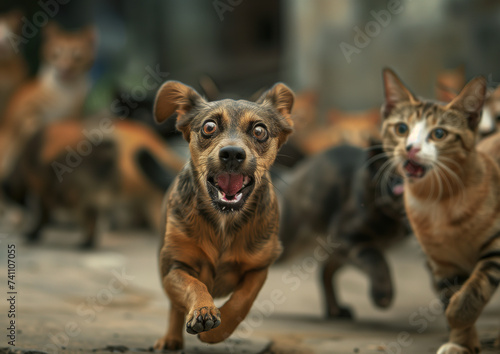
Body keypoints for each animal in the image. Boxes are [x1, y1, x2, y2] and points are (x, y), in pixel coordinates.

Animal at [0, 21, 95, 176]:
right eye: (55, 54)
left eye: (77, 58)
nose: (65, 69)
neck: (65, 91)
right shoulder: (27, 109)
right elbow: (32, 126)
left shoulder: (73, 115)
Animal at [150, 79, 294, 348]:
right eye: (209, 127)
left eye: (260, 131)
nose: (232, 153)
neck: (225, 220)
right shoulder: (174, 267)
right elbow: (194, 285)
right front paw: (203, 311)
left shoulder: (259, 268)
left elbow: (242, 301)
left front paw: (216, 331)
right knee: (175, 307)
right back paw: (171, 339)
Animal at [380, 68, 498, 352]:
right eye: (401, 129)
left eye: (439, 134)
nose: (410, 148)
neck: (438, 202)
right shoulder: (442, 264)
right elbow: (450, 293)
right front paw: (461, 342)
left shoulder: (497, 247)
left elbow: (474, 289)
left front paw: (457, 315)